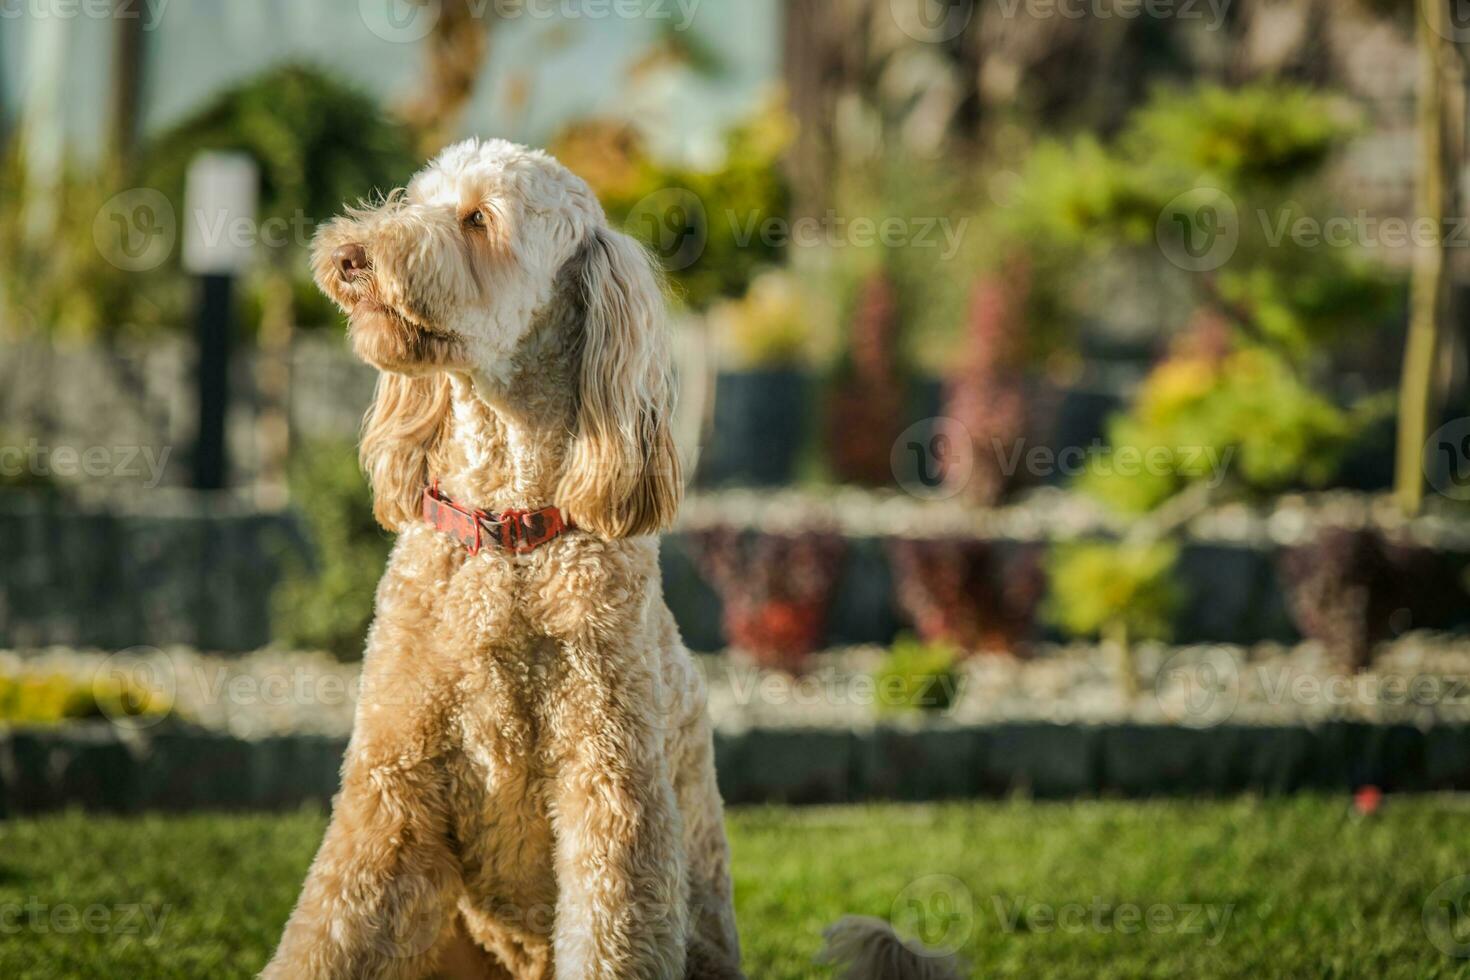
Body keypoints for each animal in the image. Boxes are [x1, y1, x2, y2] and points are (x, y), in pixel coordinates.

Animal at [263, 139, 952, 980]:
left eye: (478, 218)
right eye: (417, 199)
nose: (348, 255)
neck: (509, 535)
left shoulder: (613, 799)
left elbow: (609, 935)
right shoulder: (389, 795)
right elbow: (326, 935)